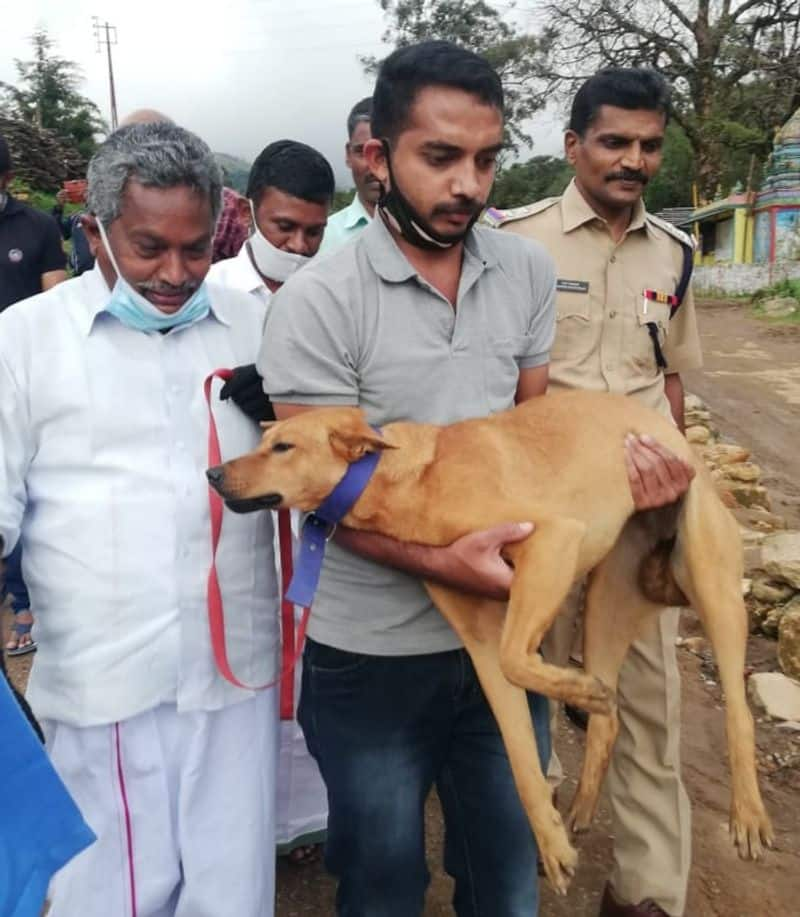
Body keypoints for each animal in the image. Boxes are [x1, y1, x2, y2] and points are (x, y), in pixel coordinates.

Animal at [208, 390, 776, 892]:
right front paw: (550, 842)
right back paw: (582, 801)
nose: (212, 474)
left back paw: (748, 814)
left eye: (283, 447)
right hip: (605, 609)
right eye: (265, 441)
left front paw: (577, 690)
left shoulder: (551, 539)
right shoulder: (479, 634)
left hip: (712, 584)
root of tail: (674, 436)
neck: (405, 480)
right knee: (608, 723)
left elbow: (515, 660)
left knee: (738, 712)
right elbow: (521, 754)